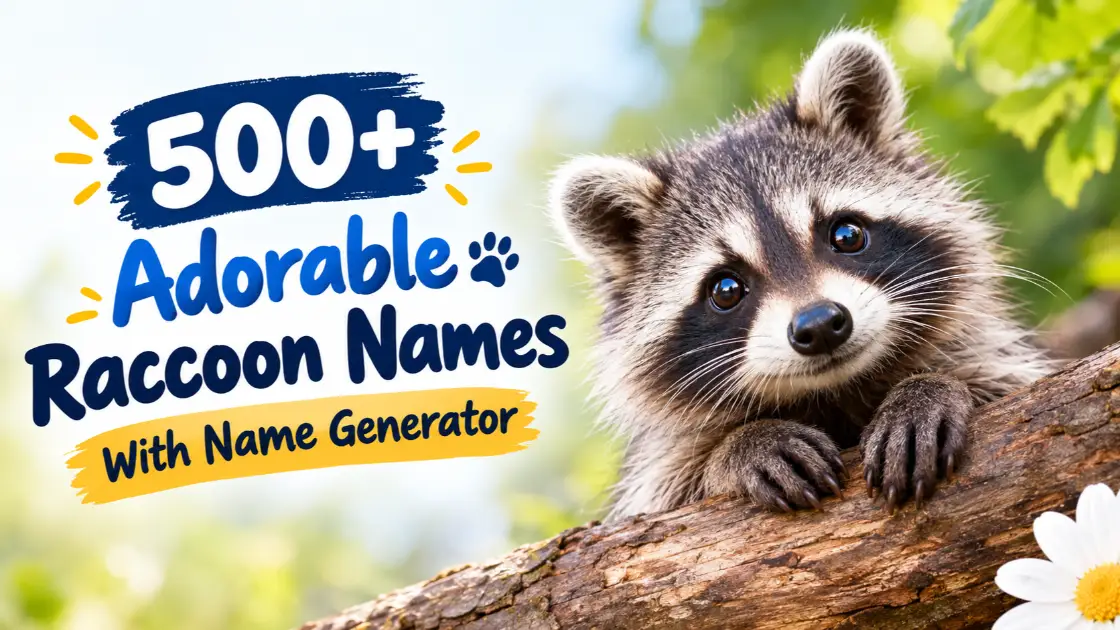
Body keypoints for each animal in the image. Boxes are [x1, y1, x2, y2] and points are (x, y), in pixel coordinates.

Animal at [548, 29, 1052, 519]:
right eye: (725, 289)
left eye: (847, 234)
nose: (820, 325)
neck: (835, 390)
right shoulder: (654, 482)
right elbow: (672, 484)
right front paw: (738, 445)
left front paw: (929, 387)